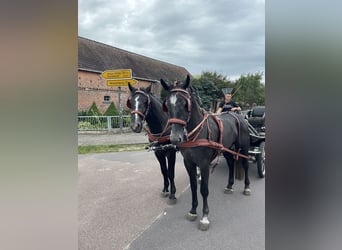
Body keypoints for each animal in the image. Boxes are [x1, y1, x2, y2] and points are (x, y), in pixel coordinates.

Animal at [160, 74, 251, 230]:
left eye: (185, 104)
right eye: (167, 105)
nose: (175, 138)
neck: (197, 132)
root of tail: (239, 116)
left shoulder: (204, 164)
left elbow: (204, 189)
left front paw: (204, 217)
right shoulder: (189, 163)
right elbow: (194, 187)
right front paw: (192, 211)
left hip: (243, 148)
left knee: (245, 164)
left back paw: (246, 187)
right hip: (226, 149)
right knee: (231, 163)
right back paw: (229, 186)